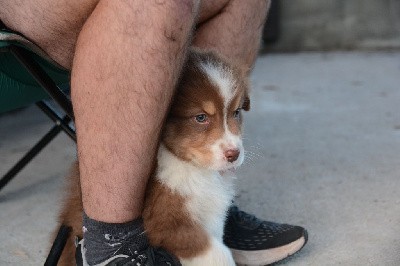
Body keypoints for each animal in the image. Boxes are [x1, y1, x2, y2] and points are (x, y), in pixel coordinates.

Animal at [55, 48, 250, 266]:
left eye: (236, 112)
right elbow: (218, 253)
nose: (234, 154)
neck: (189, 167)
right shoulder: (162, 225)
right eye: (200, 117)